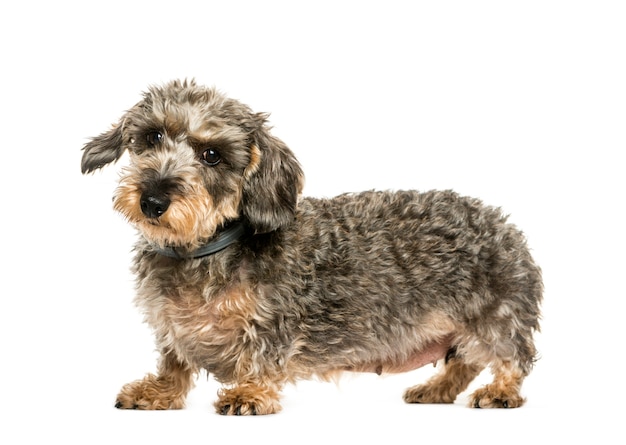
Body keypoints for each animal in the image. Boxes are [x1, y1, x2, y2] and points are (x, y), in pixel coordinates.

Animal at [81, 79, 540, 412]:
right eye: (152, 136)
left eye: (212, 155)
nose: (152, 200)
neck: (204, 250)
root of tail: (505, 225)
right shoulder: (170, 326)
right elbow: (173, 363)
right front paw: (159, 391)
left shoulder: (273, 321)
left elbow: (261, 357)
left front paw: (250, 393)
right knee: (464, 362)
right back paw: (437, 387)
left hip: (495, 317)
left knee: (511, 359)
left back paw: (500, 392)